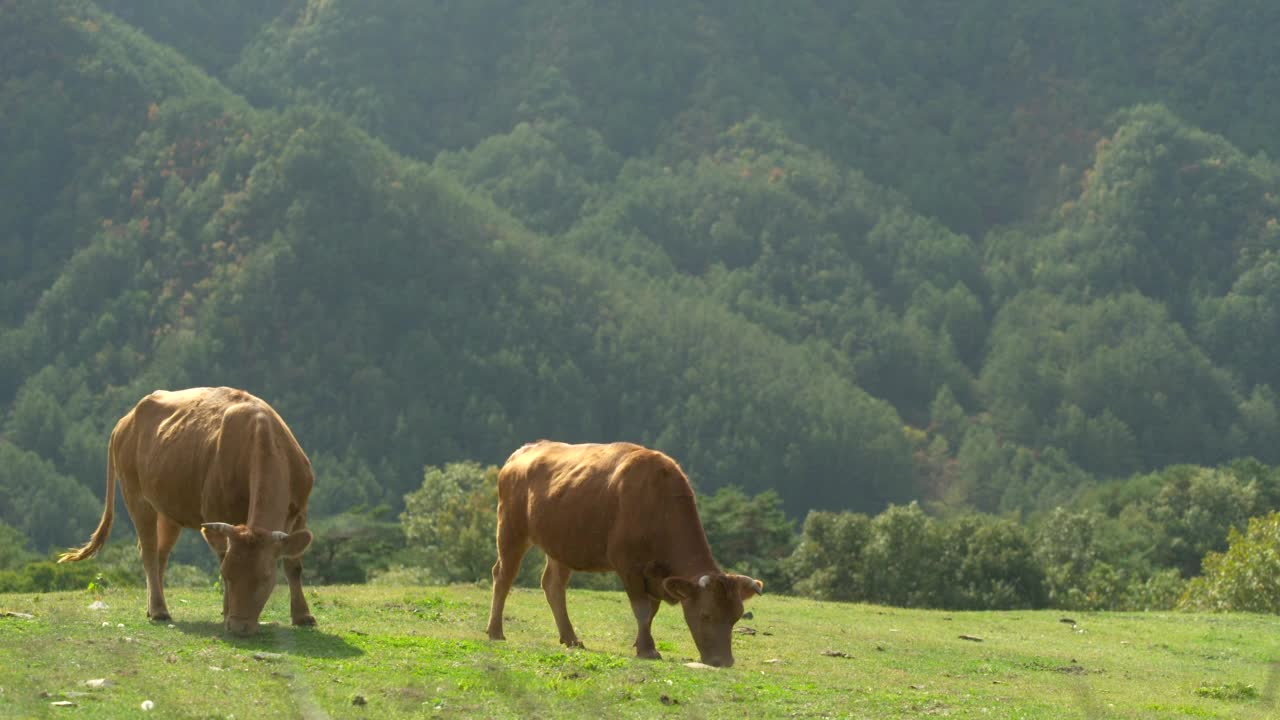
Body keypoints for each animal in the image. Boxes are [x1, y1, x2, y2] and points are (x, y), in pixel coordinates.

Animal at [58, 386, 320, 632]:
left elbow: (293, 565)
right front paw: (226, 612)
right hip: (136, 496)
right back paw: (159, 610)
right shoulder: (216, 515)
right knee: (149, 551)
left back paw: (154, 605)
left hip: (169, 508)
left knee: (161, 553)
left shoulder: (301, 512)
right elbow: (223, 554)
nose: (238, 626)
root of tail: (125, 421)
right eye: (226, 574)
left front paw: (303, 616)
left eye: (266, 578)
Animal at [481, 438, 757, 666]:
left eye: (736, 617)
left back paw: (571, 638)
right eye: (705, 615)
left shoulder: (655, 575)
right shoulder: (628, 565)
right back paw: (495, 631)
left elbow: (652, 610)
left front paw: (641, 643)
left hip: (560, 544)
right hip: (511, 530)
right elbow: (642, 609)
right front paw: (647, 649)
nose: (724, 661)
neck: (657, 503)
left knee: (553, 585)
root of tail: (524, 451)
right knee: (503, 576)